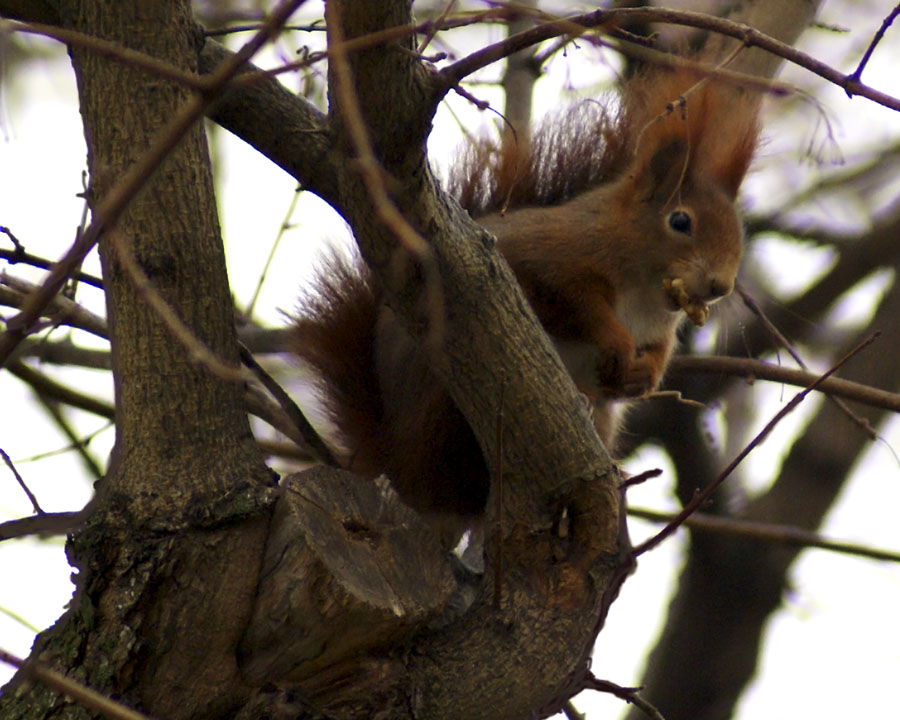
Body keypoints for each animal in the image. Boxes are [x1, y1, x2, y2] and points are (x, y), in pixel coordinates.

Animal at [296, 62, 760, 532]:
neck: (645, 294)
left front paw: (642, 376)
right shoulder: (553, 261)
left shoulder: (659, 326)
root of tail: (400, 465)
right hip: (448, 401)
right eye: (680, 222)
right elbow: (576, 307)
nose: (720, 286)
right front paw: (616, 342)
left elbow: (657, 354)